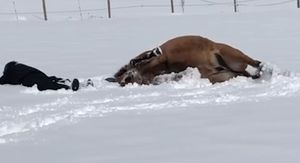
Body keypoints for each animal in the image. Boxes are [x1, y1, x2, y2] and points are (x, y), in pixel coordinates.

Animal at [106, 35, 262, 86]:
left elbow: (137, 59)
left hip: (232, 55)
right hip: (227, 73)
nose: (124, 81)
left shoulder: (160, 59)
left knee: (256, 62)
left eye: (125, 80)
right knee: (247, 74)